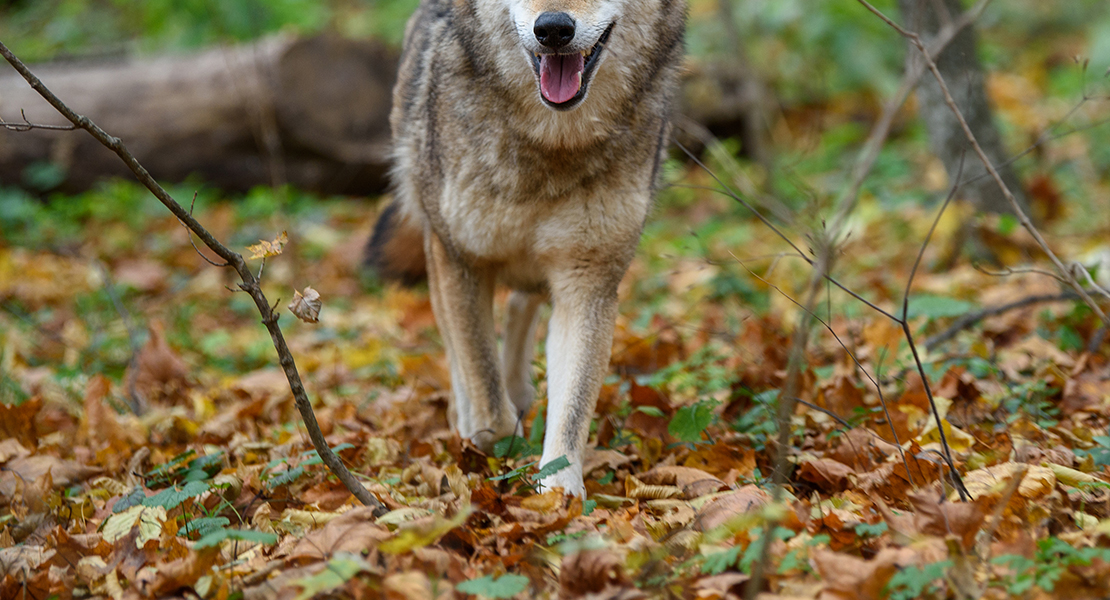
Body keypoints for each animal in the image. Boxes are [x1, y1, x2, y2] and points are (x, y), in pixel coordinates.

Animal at [368, 0, 688, 494]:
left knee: (523, 303)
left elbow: (572, 407)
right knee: (459, 339)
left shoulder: (588, 282)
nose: (553, 29)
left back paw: (518, 389)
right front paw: (485, 435)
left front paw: (560, 495)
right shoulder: (459, 259)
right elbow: (484, 390)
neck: (551, 143)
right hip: (437, 245)